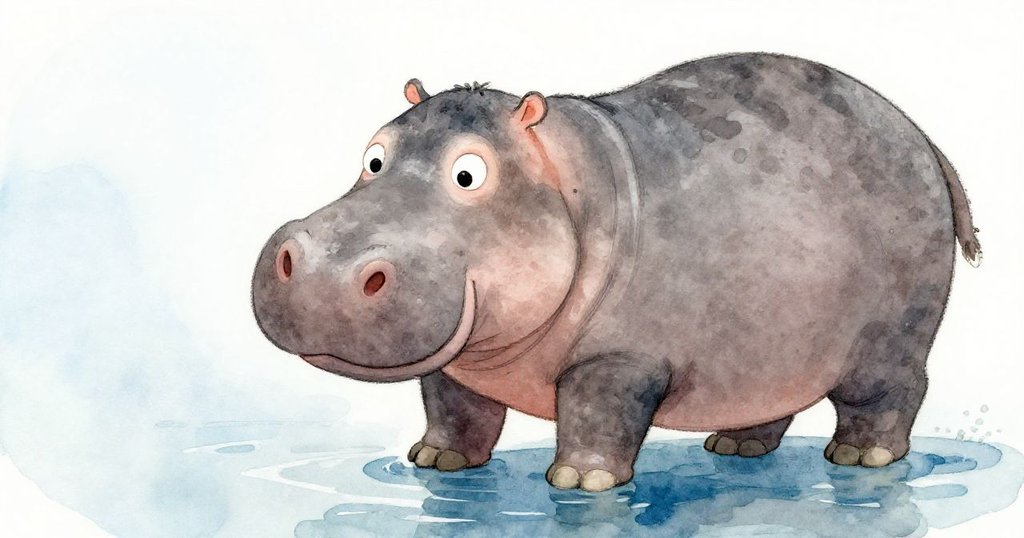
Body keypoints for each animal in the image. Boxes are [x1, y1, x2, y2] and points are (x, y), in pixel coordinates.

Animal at [252, 53, 981, 492]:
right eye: (373, 156)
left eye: (469, 172)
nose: (322, 260)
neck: (569, 179)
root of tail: (923, 137)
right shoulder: (458, 364)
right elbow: (453, 407)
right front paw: (436, 461)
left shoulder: (619, 359)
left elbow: (596, 412)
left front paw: (580, 483)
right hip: (769, 348)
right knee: (772, 402)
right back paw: (733, 448)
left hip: (887, 340)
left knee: (891, 393)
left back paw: (863, 460)